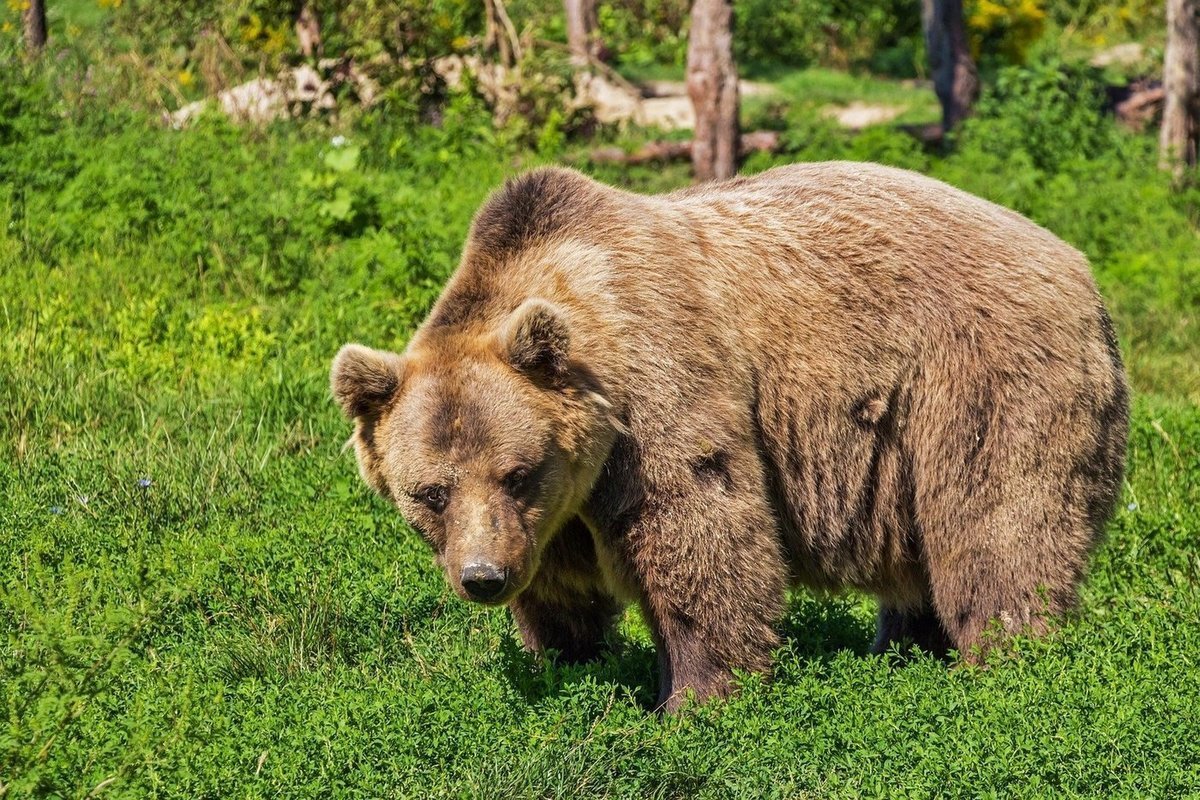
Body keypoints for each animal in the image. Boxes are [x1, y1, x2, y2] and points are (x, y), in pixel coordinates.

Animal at [328, 163, 1123, 714]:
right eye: (429, 492)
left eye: (517, 472)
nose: (483, 577)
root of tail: (1080, 267)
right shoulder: (554, 514)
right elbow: (560, 588)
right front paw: (568, 661)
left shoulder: (657, 392)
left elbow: (700, 531)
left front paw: (694, 699)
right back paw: (902, 650)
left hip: (979, 376)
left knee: (998, 523)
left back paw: (1006, 660)